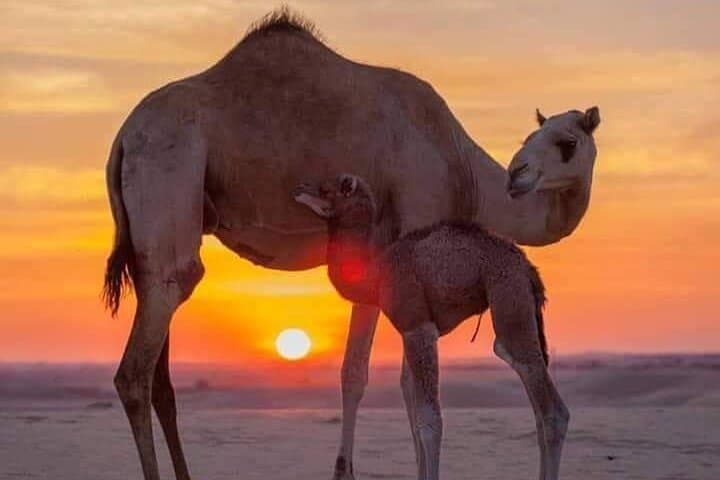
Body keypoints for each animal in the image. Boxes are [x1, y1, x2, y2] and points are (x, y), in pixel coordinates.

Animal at [294, 173, 568, 480]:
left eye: (326, 188)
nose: (300, 189)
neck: (377, 274)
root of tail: (529, 270)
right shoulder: (416, 332)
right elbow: (416, 410)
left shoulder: (417, 325)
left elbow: (428, 419)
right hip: (519, 304)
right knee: (531, 392)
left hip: (509, 292)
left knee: (551, 410)